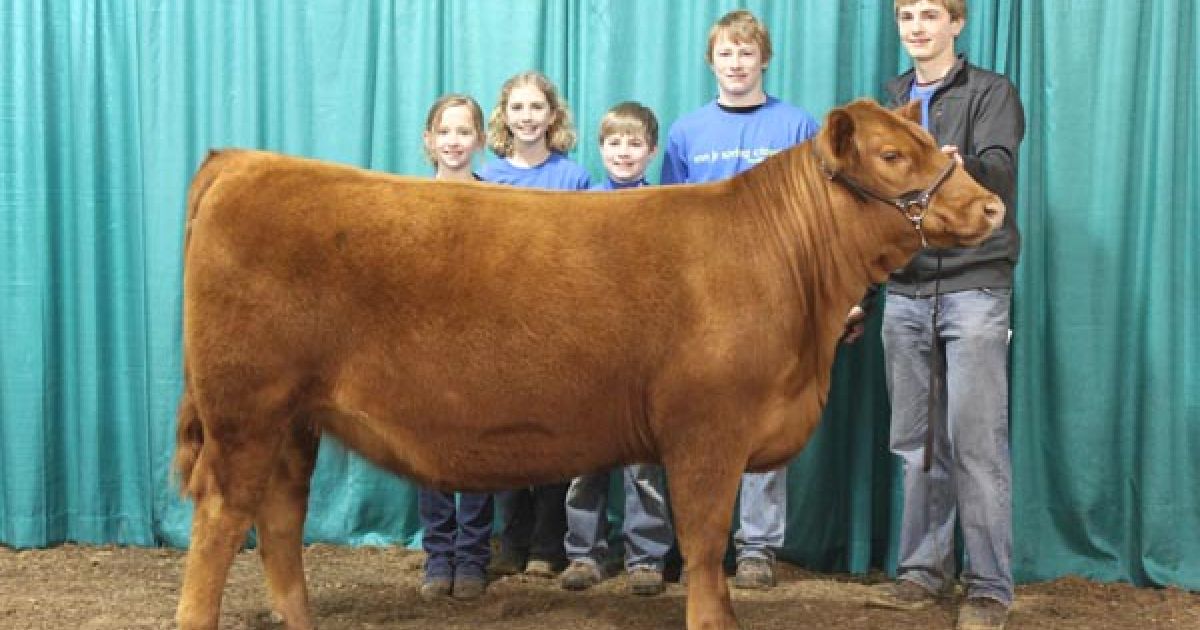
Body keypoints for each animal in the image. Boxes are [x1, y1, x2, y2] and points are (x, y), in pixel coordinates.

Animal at [173, 98, 1003, 630]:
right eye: (893, 155)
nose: (992, 207)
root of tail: (241, 164)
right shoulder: (709, 431)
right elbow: (706, 545)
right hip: (246, 411)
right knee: (222, 519)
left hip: (293, 420)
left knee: (280, 519)